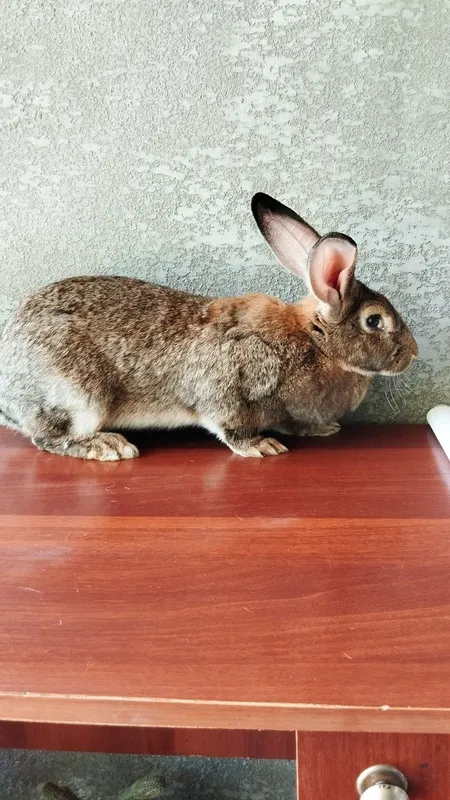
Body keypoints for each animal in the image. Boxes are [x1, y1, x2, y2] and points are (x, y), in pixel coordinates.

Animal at [0, 192, 418, 461]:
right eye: (374, 320)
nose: (413, 356)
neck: (316, 342)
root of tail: (7, 397)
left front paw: (322, 430)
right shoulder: (228, 387)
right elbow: (227, 424)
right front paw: (260, 447)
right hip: (77, 396)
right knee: (48, 437)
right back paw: (107, 446)